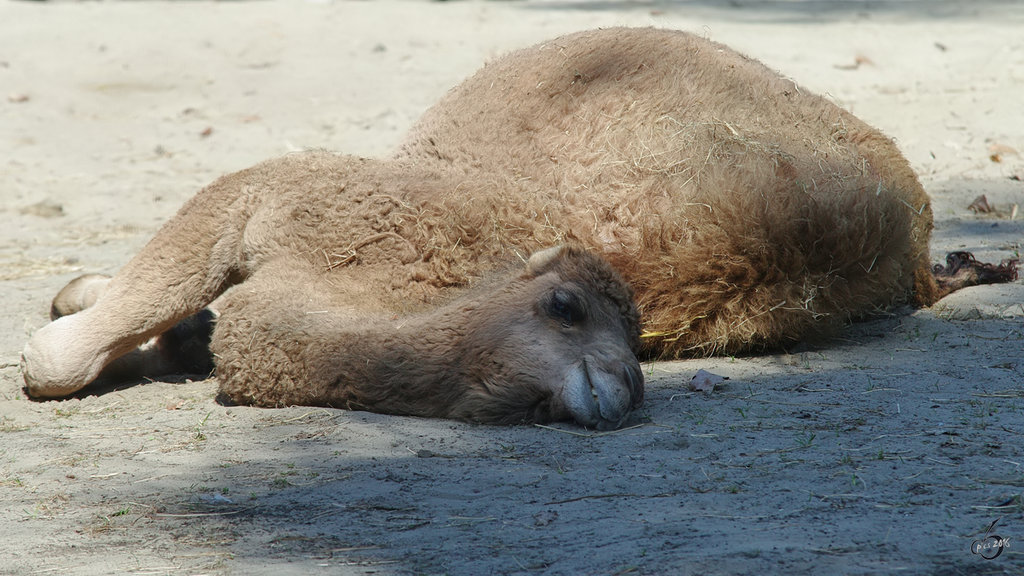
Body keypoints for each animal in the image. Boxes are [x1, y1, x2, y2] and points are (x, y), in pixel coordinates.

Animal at [22, 29, 1015, 428]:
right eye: (564, 308)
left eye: (630, 346)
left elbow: (73, 354)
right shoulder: (267, 195)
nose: (624, 387)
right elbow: (80, 347)